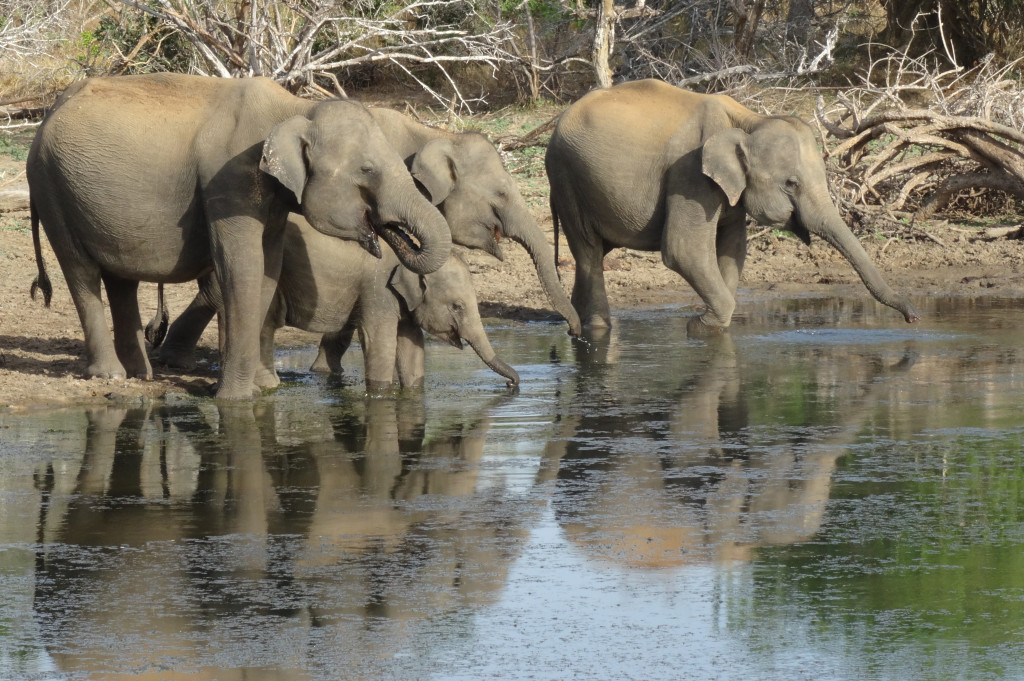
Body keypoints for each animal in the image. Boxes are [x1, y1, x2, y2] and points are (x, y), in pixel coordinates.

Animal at [27, 70, 452, 399]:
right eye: (367, 170)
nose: (390, 238)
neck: (295, 108)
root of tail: (49, 112)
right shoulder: (227, 183)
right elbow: (242, 269)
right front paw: (233, 399)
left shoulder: (271, 202)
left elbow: (267, 272)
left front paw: (262, 389)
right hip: (51, 187)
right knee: (81, 272)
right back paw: (110, 375)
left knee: (120, 279)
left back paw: (140, 374)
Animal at [158, 215, 520, 391]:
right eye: (457, 306)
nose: (514, 384)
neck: (412, 252)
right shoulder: (377, 291)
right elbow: (379, 341)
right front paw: (381, 391)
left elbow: (412, 346)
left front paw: (413, 389)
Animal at [544, 79, 921, 331]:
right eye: (791, 184)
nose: (913, 316)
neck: (749, 120)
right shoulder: (689, 175)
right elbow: (683, 250)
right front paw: (702, 325)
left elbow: (733, 249)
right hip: (567, 179)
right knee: (589, 253)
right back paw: (596, 328)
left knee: (591, 256)